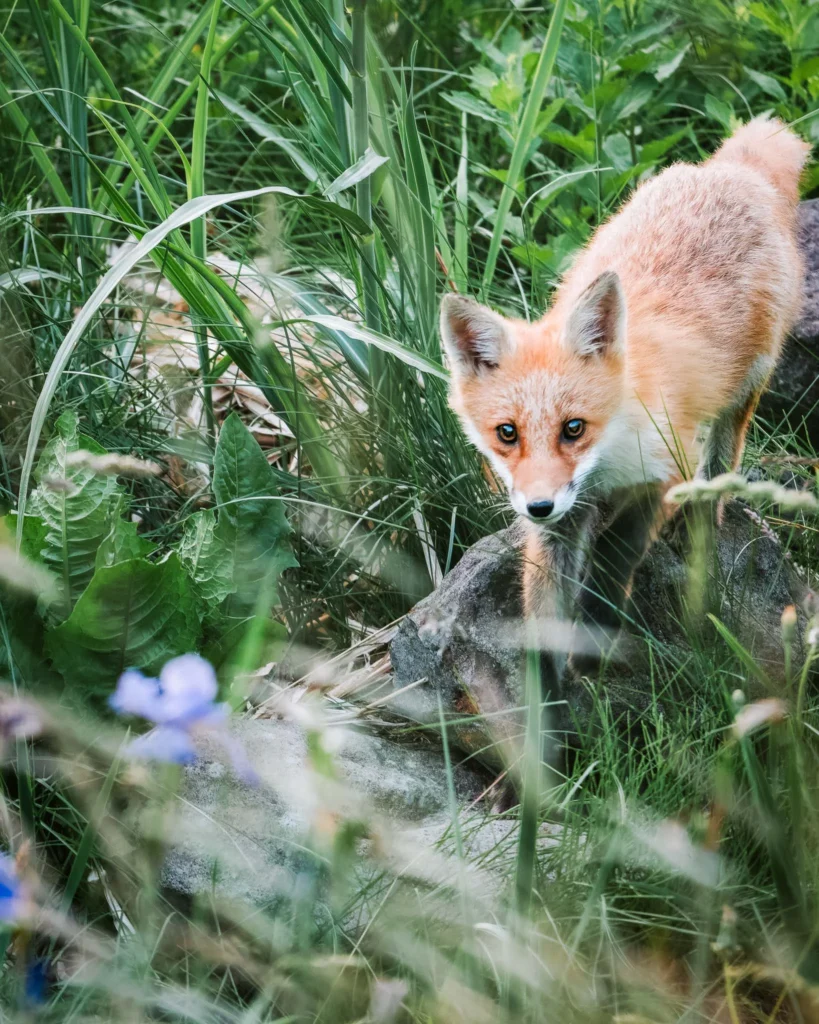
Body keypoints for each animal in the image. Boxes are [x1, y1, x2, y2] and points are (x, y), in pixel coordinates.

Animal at [440, 116, 810, 680]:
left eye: (574, 427)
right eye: (507, 433)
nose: (539, 506)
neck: (607, 459)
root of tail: (731, 170)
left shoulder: (667, 465)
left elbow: (618, 552)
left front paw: (598, 634)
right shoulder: (561, 519)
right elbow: (543, 604)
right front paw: (548, 692)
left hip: (748, 386)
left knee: (720, 466)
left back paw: (702, 524)